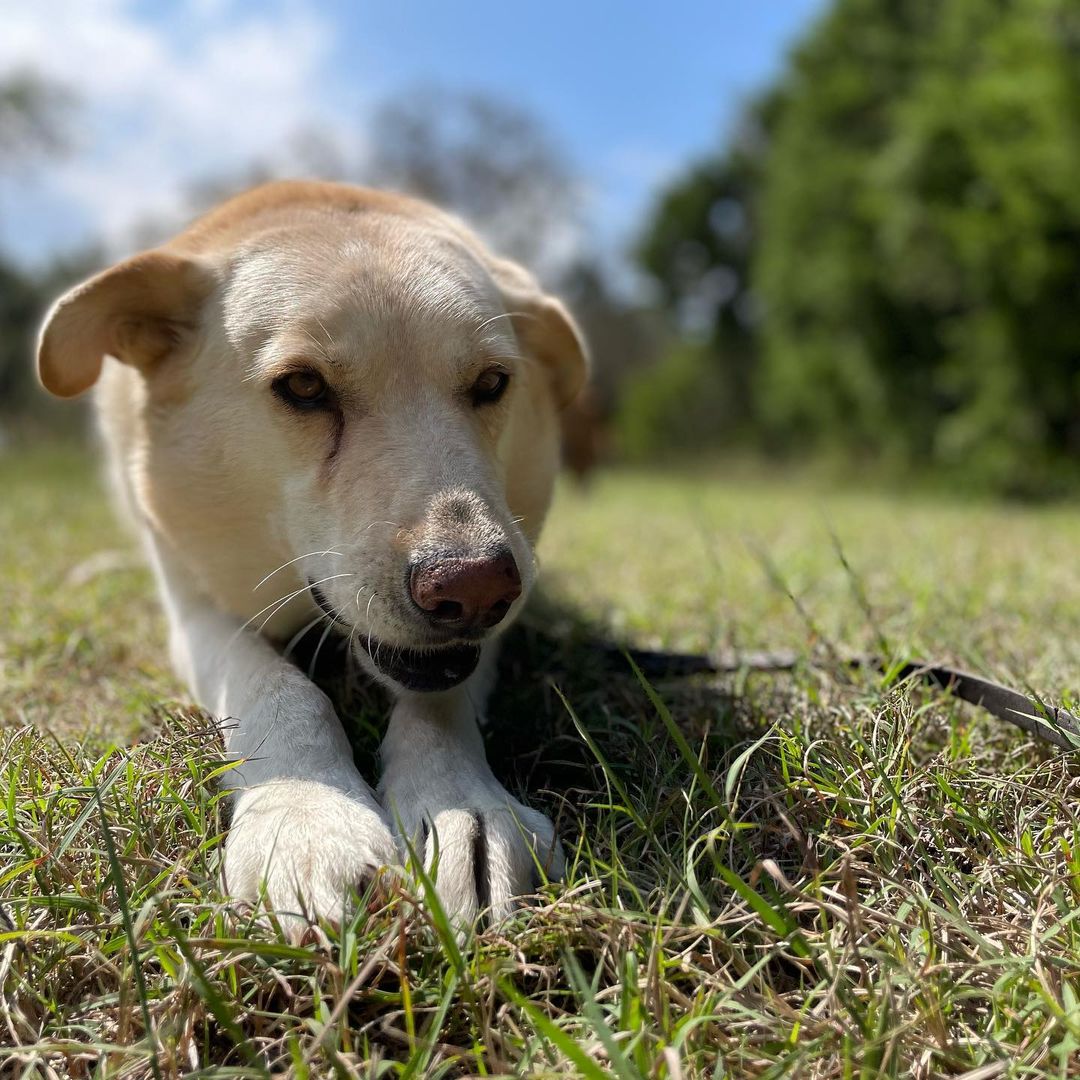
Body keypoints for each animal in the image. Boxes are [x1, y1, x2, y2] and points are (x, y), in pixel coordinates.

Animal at [38, 181, 587, 933]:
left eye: (492, 383)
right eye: (303, 387)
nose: (476, 587)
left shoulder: (495, 614)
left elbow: (442, 701)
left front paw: (463, 805)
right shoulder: (194, 606)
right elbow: (282, 691)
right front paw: (305, 820)